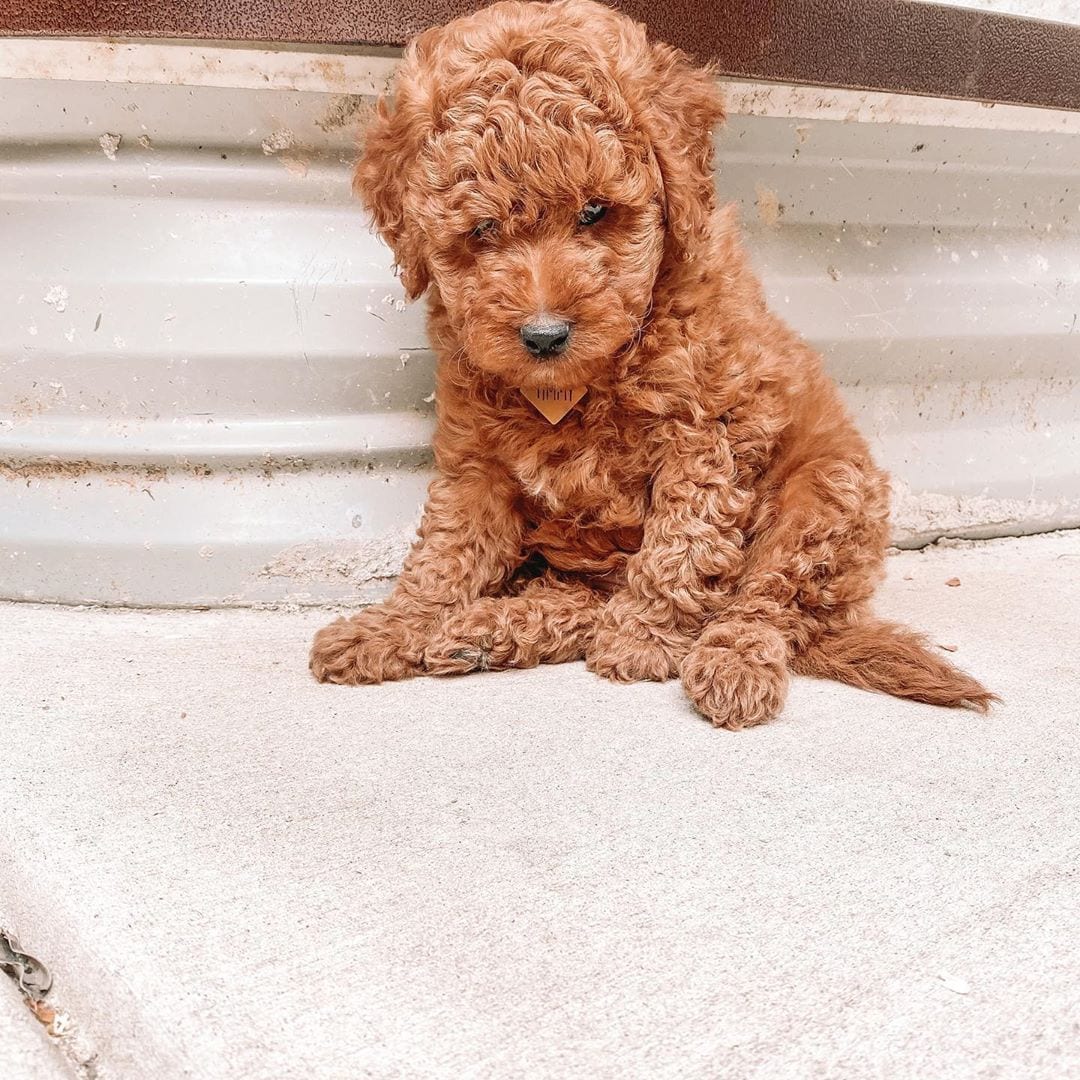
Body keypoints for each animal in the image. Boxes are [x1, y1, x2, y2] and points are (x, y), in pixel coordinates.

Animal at [308, 2, 989, 725]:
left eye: (595, 211)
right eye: (482, 231)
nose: (544, 335)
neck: (583, 381)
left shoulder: (708, 433)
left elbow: (683, 540)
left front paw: (645, 636)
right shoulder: (476, 465)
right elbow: (446, 552)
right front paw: (392, 624)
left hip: (828, 491)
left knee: (770, 599)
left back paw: (728, 660)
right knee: (586, 601)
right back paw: (484, 632)